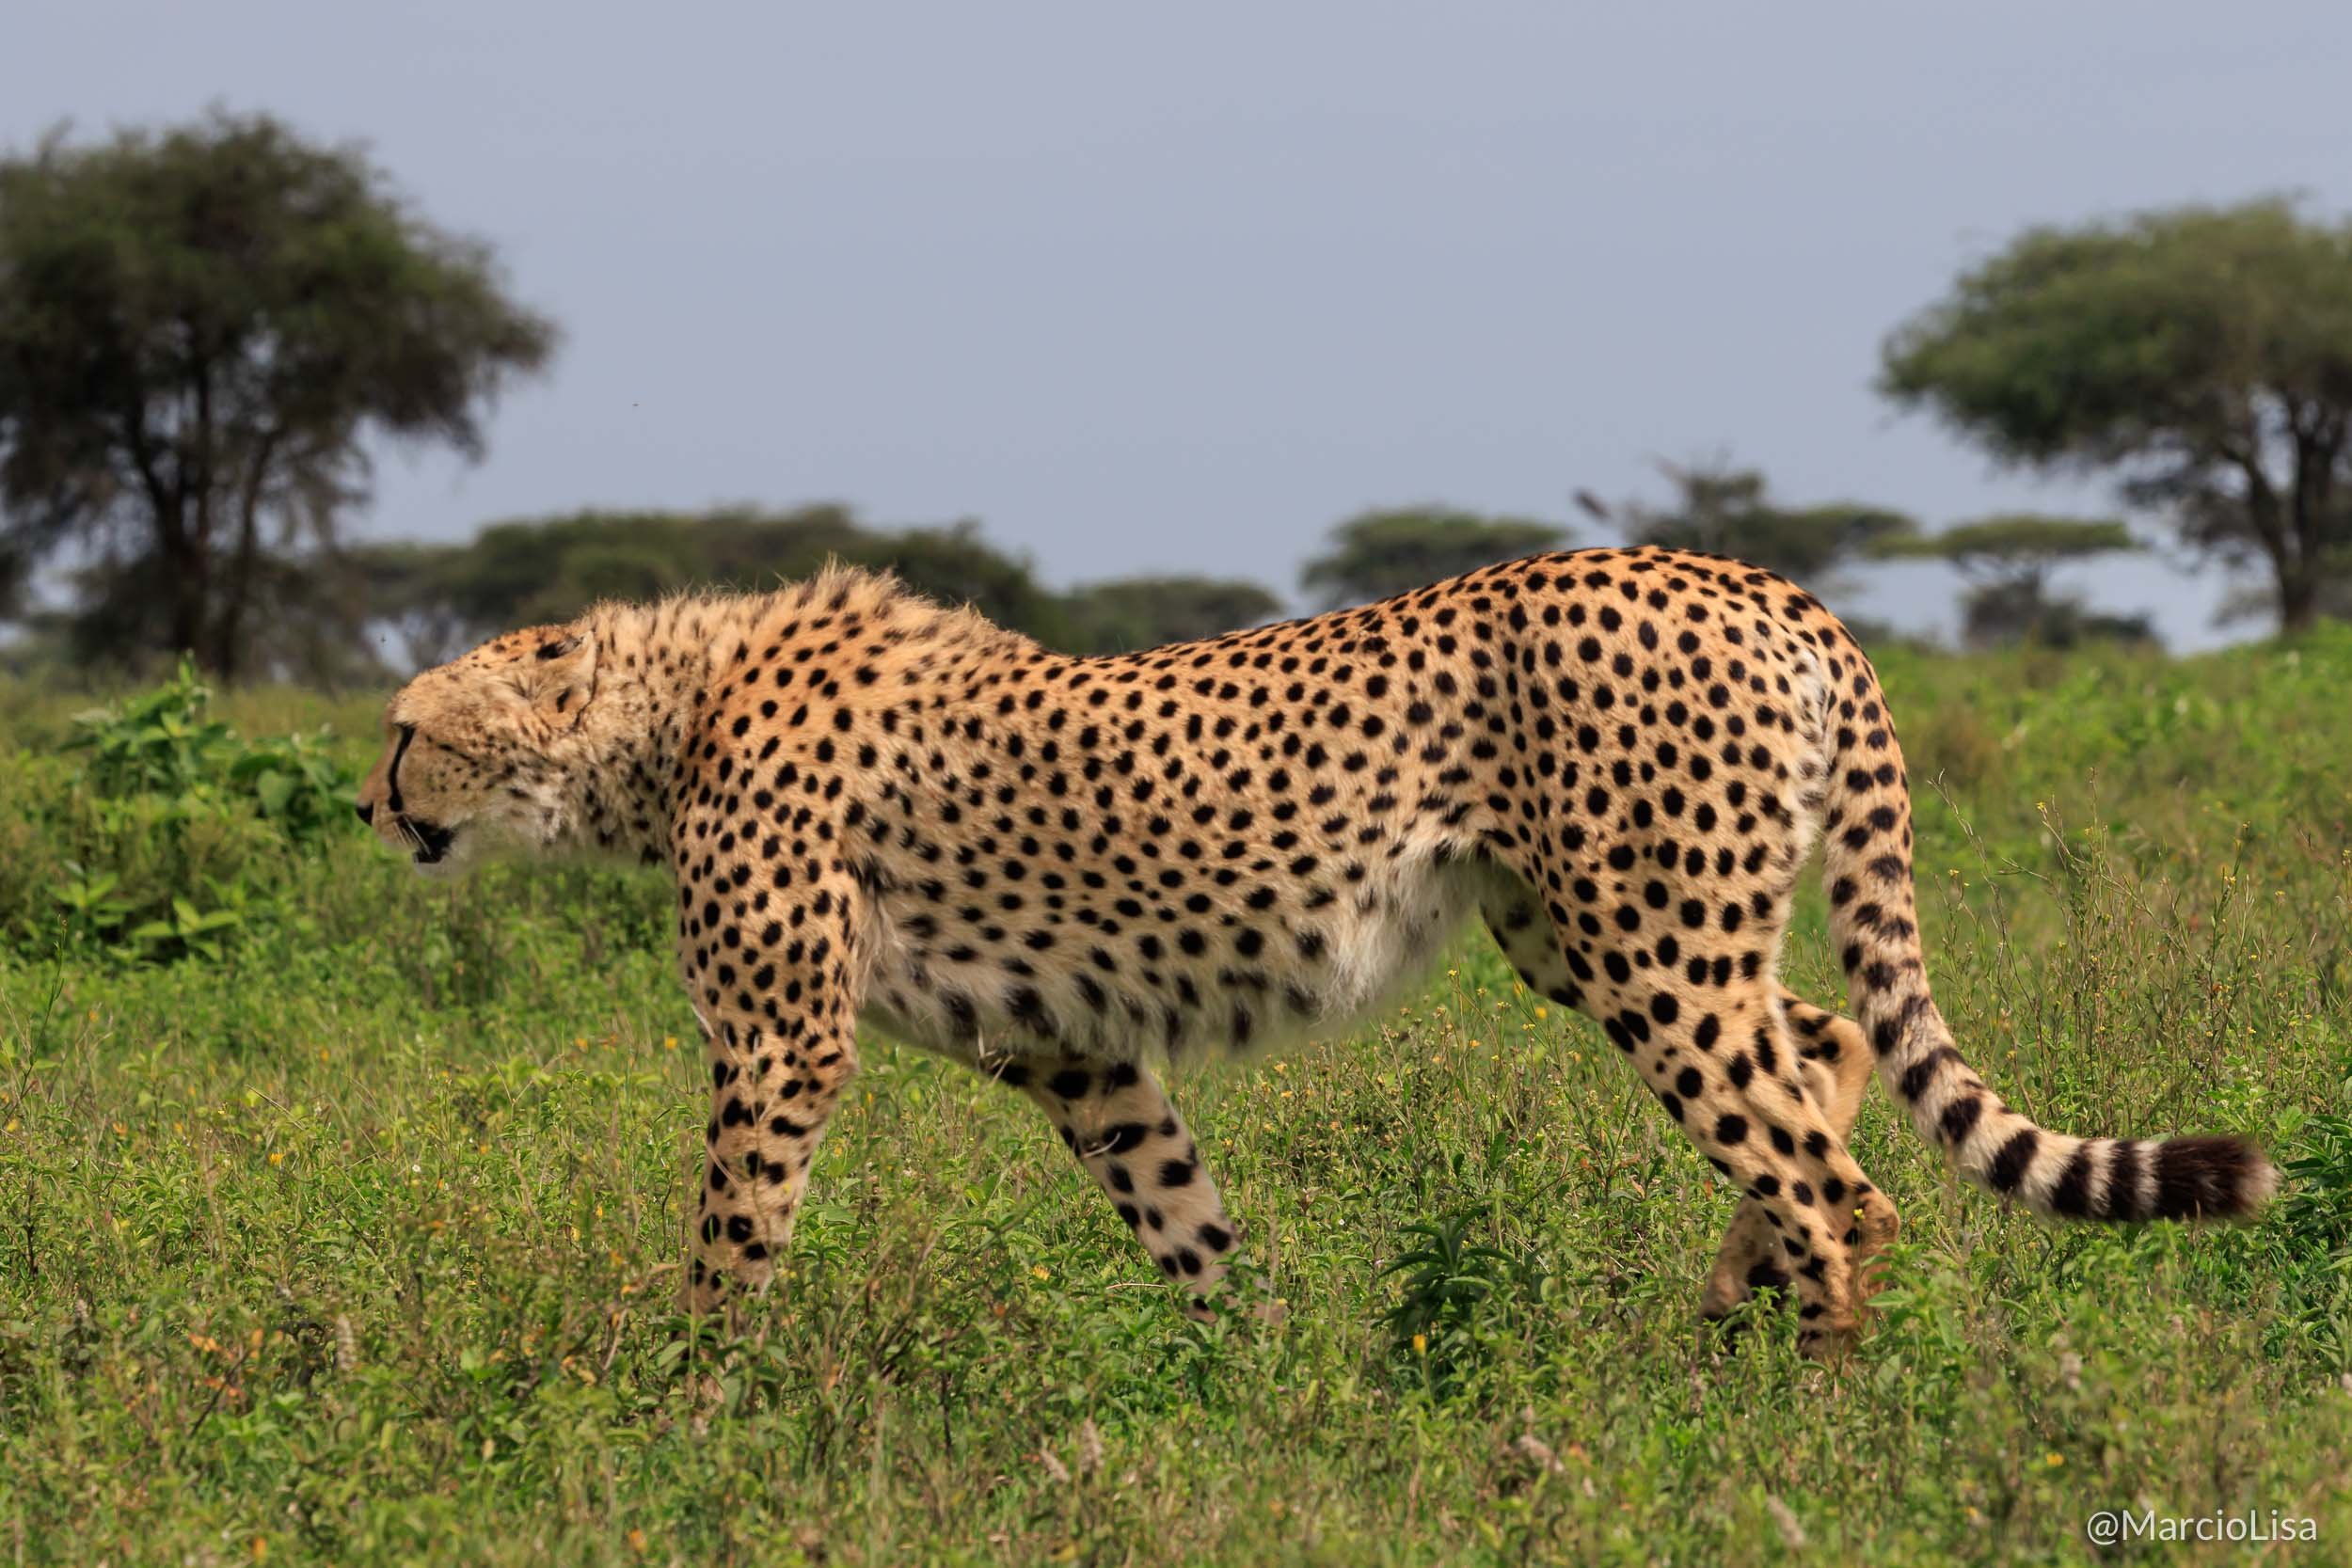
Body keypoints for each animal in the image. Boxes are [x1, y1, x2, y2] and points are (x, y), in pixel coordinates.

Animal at [355, 546, 2277, 1357]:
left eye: (404, 728)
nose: (368, 803)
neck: (664, 717)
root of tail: (1749, 574)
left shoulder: (781, 1042)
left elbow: (731, 1234)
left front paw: (688, 1405)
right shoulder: (1076, 1046)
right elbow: (1177, 1209)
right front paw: (1255, 1380)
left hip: (1643, 936)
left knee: (1835, 1178)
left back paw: (1812, 1406)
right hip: (1590, 930)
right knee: (1826, 1049)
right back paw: (1732, 1296)